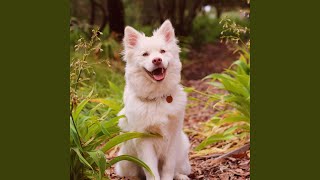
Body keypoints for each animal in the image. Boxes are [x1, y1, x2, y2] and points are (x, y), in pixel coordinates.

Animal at [115, 20, 190, 180]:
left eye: (162, 51)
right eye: (145, 54)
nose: (157, 60)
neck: (157, 98)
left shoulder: (173, 138)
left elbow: (168, 167)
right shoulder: (144, 141)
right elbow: (151, 170)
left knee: (176, 169)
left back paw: (181, 176)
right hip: (125, 161)